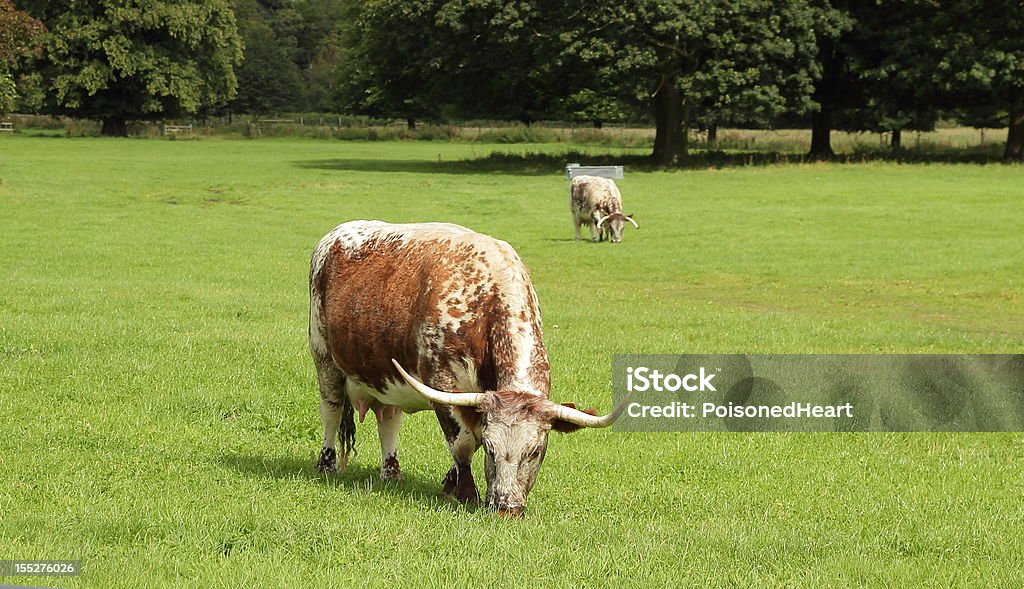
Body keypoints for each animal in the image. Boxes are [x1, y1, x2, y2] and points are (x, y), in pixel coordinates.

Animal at [309, 221, 630, 516]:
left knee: (388, 419)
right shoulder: (443, 388)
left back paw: (391, 473)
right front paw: (465, 493)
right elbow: (464, 442)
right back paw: (326, 464)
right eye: (491, 449)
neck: (484, 297)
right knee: (331, 411)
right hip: (324, 358)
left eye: (535, 451)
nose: (505, 509)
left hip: (386, 379)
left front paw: (450, 484)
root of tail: (337, 232)